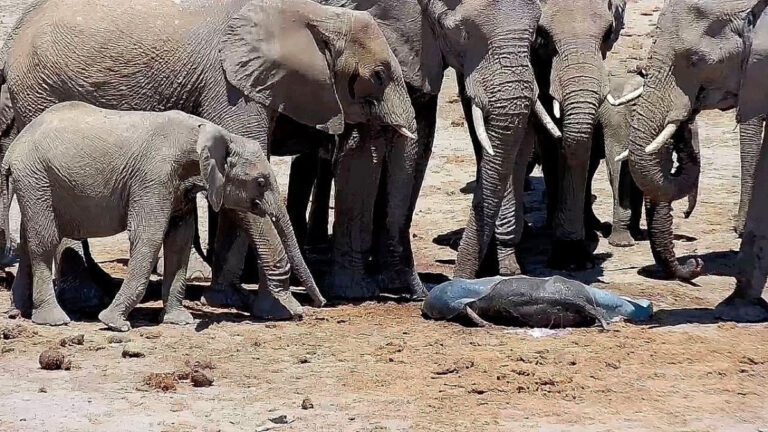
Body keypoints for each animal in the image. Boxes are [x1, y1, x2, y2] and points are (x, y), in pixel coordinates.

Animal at [1, 102, 324, 330]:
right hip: (36, 176)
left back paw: (21, 311)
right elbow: (149, 235)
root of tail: (13, 149)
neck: (207, 133)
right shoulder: (153, 177)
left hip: (35, 181)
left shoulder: (180, 187)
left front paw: (179, 322)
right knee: (44, 240)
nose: (317, 306)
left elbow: (179, 239)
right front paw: (114, 324)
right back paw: (54, 320)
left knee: (29, 241)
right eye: (260, 182)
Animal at [285, 0, 559, 295]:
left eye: (534, 36)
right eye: (463, 34)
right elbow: (363, 150)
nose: (459, 280)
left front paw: (405, 288)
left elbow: (416, 146)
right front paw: (353, 291)